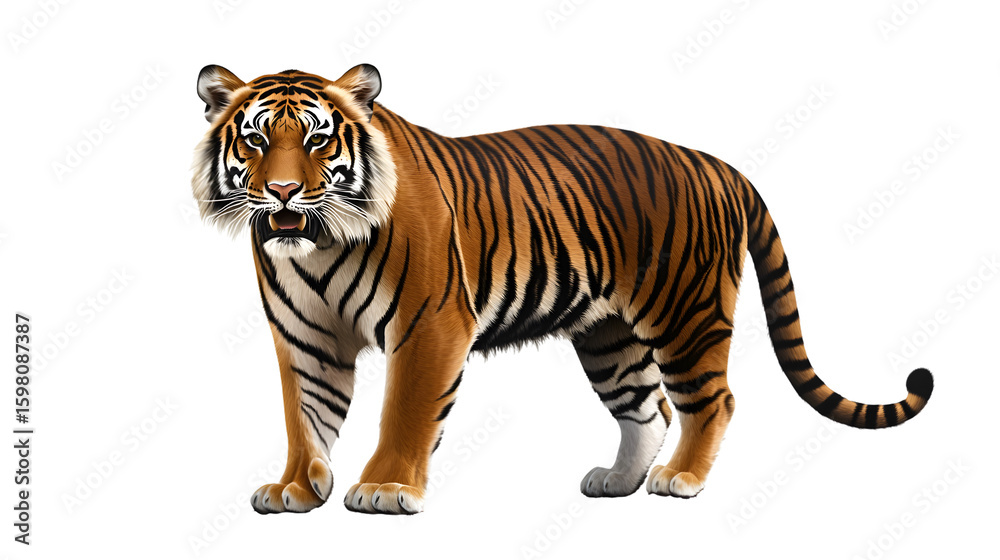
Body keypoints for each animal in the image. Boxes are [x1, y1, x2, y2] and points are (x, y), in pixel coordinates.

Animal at [191, 63, 934, 515]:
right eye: (255, 141)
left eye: (318, 140)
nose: (282, 191)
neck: (317, 244)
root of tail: (715, 163)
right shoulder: (304, 337)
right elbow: (304, 417)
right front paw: (295, 487)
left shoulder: (428, 324)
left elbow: (404, 410)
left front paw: (384, 487)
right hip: (610, 336)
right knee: (647, 409)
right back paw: (617, 482)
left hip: (686, 314)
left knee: (711, 400)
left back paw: (682, 480)